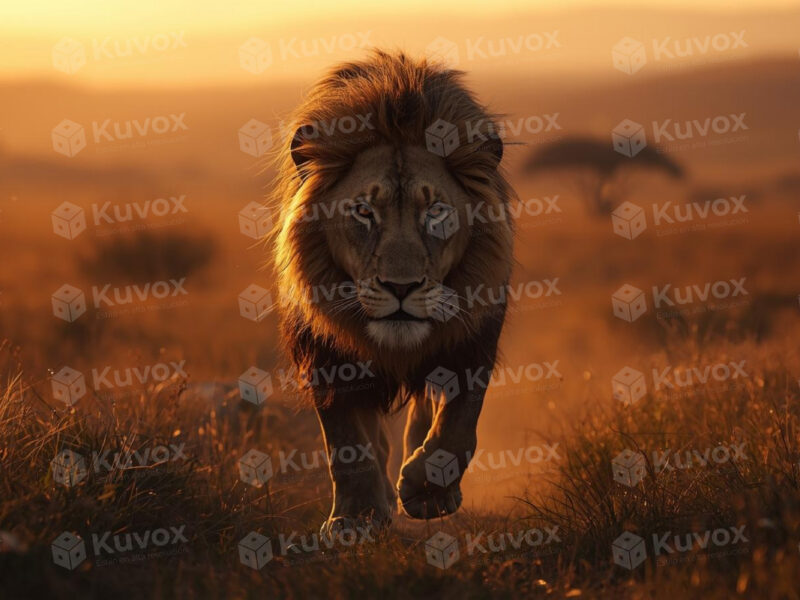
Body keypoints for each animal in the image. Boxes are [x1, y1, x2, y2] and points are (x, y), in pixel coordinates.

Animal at [271, 50, 514, 534]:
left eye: (435, 211)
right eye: (364, 211)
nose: (401, 287)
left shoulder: (474, 341)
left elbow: (459, 424)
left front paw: (429, 490)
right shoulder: (326, 357)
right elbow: (346, 441)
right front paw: (356, 517)